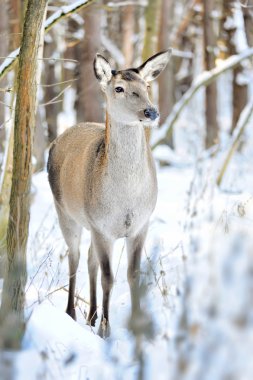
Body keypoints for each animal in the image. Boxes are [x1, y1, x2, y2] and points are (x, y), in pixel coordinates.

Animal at [47, 49, 172, 336]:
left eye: (147, 86)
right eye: (119, 88)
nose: (151, 111)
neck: (125, 198)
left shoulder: (140, 224)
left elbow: (132, 275)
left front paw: (135, 326)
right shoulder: (101, 226)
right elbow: (108, 278)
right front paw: (106, 329)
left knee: (89, 259)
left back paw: (91, 314)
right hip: (65, 211)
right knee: (74, 257)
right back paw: (72, 312)